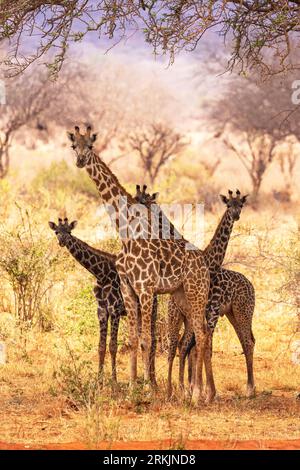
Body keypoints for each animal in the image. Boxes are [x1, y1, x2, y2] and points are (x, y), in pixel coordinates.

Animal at [48, 217, 158, 386]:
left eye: (69, 232)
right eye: (56, 232)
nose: (62, 241)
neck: (101, 274)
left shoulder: (115, 309)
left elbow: (113, 346)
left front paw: (113, 382)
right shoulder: (101, 311)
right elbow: (101, 346)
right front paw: (99, 381)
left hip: (152, 309)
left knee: (153, 341)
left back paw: (153, 381)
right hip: (138, 312)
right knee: (141, 340)